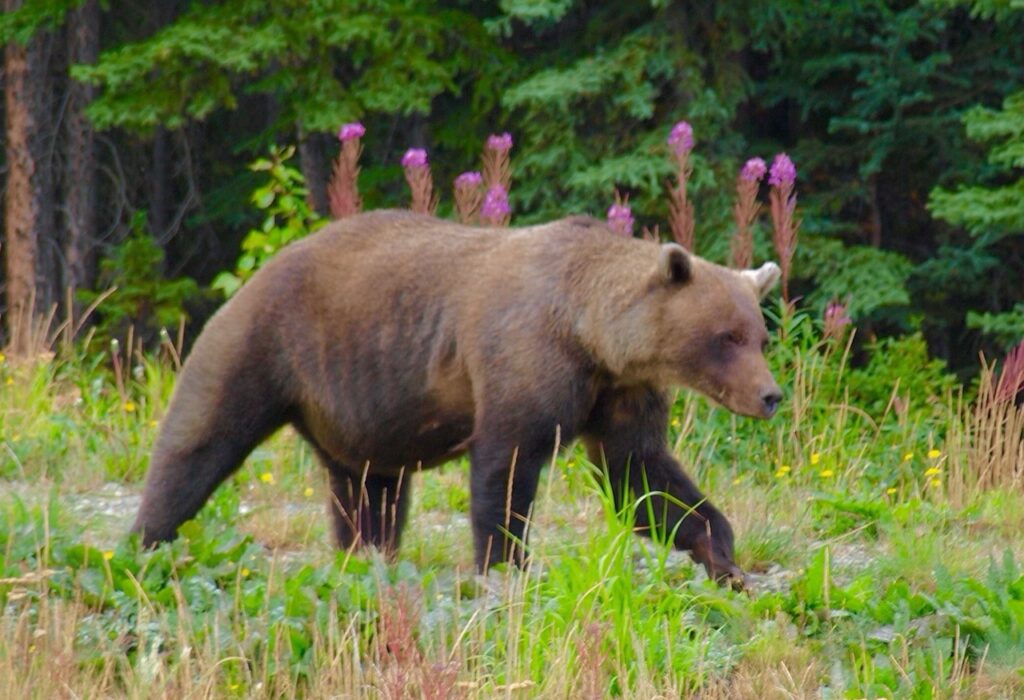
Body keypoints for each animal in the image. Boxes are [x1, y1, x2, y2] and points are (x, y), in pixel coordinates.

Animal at [132, 208, 778, 585]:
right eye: (727, 336)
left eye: (759, 334)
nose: (770, 394)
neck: (591, 335)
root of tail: (258, 269)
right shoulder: (524, 358)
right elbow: (507, 463)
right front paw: (506, 562)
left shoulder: (620, 391)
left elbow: (640, 476)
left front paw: (722, 553)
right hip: (265, 343)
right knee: (200, 440)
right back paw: (147, 540)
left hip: (363, 408)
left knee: (369, 492)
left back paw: (367, 557)